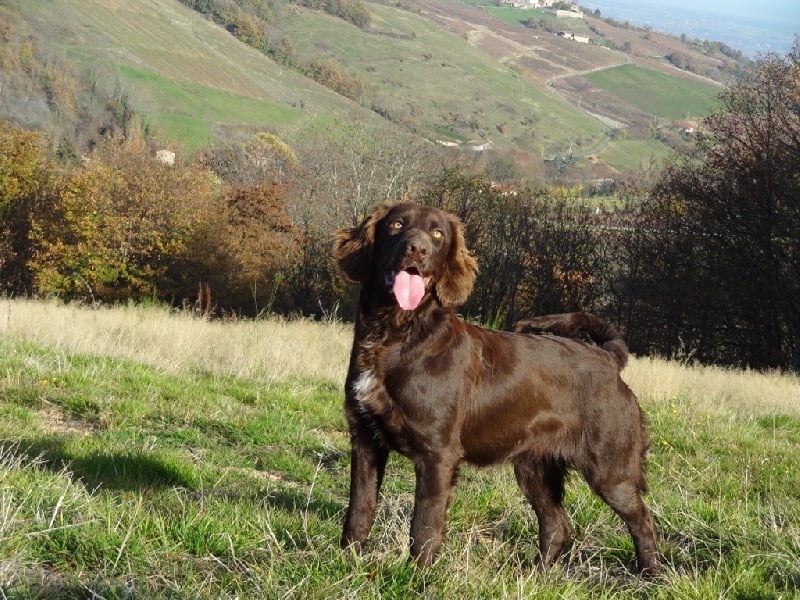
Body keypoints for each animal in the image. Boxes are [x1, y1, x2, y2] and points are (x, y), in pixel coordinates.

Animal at [332, 200, 656, 572]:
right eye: (397, 224)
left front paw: (418, 575)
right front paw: (347, 563)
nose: (418, 249)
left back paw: (650, 574)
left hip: (610, 467)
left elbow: (425, 525)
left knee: (642, 519)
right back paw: (537, 575)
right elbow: (358, 510)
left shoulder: (437, 453)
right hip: (534, 467)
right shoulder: (365, 441)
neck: (396, 336)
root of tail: (608, 357)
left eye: (437, 233)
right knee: (557, 524)